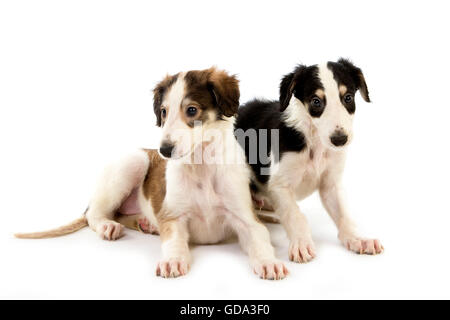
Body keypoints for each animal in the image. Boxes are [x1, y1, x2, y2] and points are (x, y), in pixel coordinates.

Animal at [16, 67, 288, 280]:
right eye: (164, 112)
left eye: (192, 110)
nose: (164, 151)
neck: (202, 168)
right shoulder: (173, 216)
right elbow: (173, 240)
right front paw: (173, 260)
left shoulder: (247, 219)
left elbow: (261, 239)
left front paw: (269, 263)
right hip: (132, 162)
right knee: (94, 213)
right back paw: (109, 226)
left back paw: (145, 223)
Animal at [236, 58, 384, 264]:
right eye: (316, 101)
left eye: (348, 98)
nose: (340, 140)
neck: (315, 143)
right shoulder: (280, 186)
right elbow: (295, 215)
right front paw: (301, 244)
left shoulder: (331, 184)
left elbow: (344, 214)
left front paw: (358, 239)